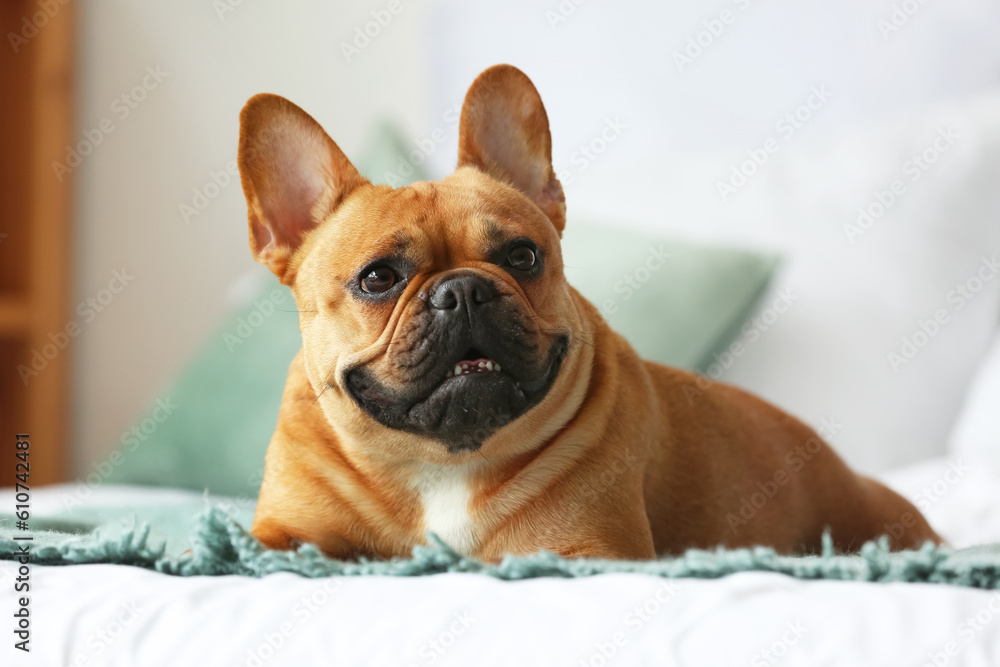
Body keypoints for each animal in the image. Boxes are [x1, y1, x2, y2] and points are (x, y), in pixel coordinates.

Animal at [238, 64, 940, 564]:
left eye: (523, 256)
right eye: (379, 278)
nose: (461, 290)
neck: (443, 464)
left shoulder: (592, 551)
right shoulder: (280, 535)